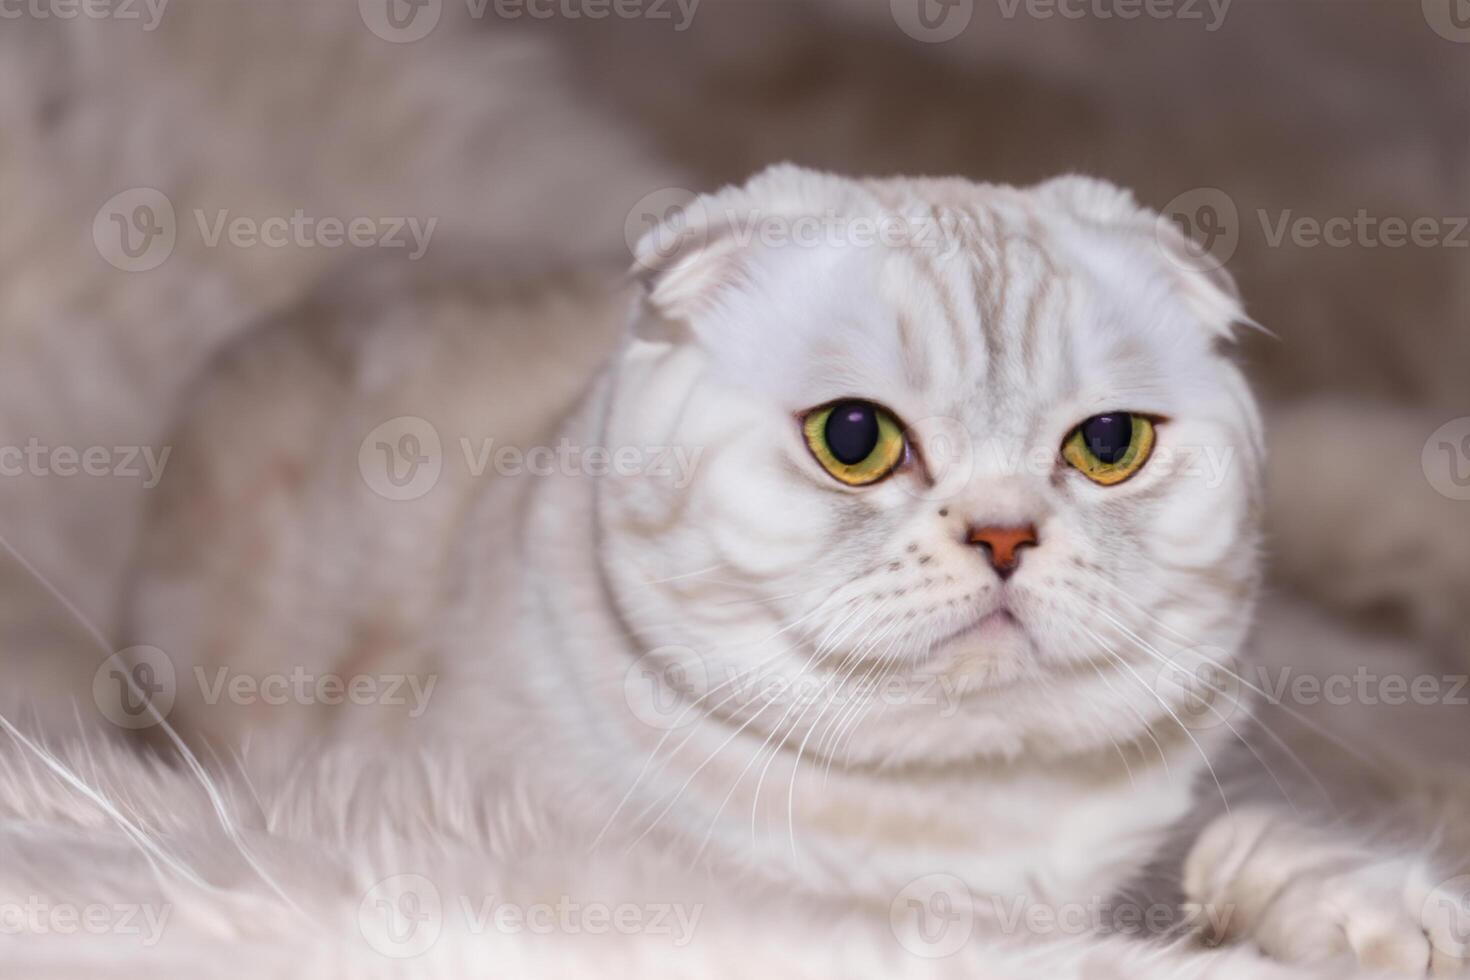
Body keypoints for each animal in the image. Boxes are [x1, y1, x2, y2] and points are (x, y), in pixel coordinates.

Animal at [117, 164, 1470, 975]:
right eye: (855, 437)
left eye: (1108, 445)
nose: (1003, 533)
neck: (970, 811)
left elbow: (1240, 843)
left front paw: (1385, 917)